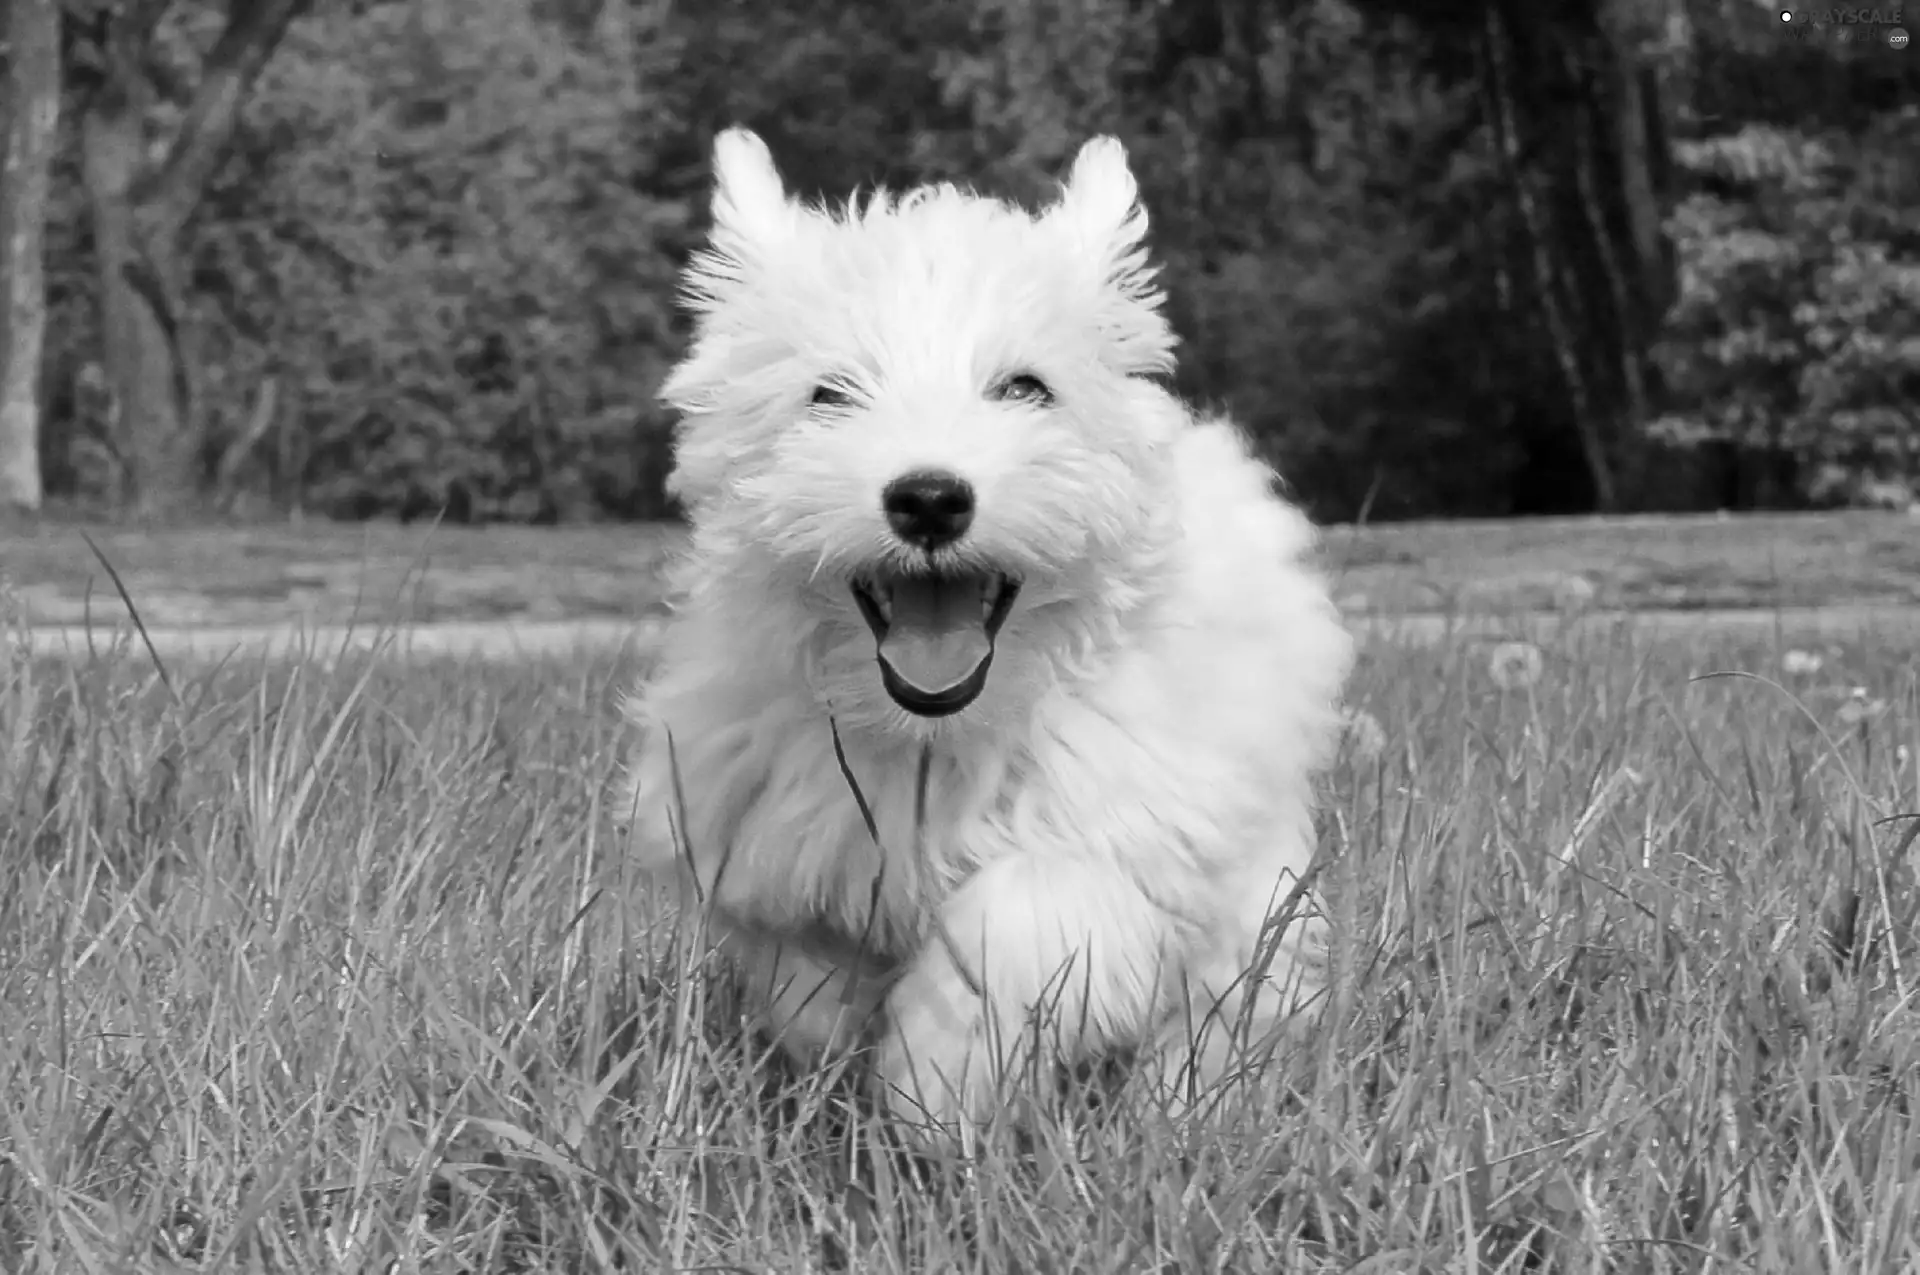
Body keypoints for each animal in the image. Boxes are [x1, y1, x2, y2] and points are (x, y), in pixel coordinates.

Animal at [618, 129, 1351, 1136]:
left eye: (1024, 386)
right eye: (829, 393)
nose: (930, 497)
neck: (936, 734)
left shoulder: (1118, 819)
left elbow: (1013, 926)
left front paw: (937, 1084)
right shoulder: (759, 816)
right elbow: (799, 958)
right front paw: (842, 1057)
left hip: (1250, 895)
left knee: (1228, 1003)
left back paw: (1181, 1111)